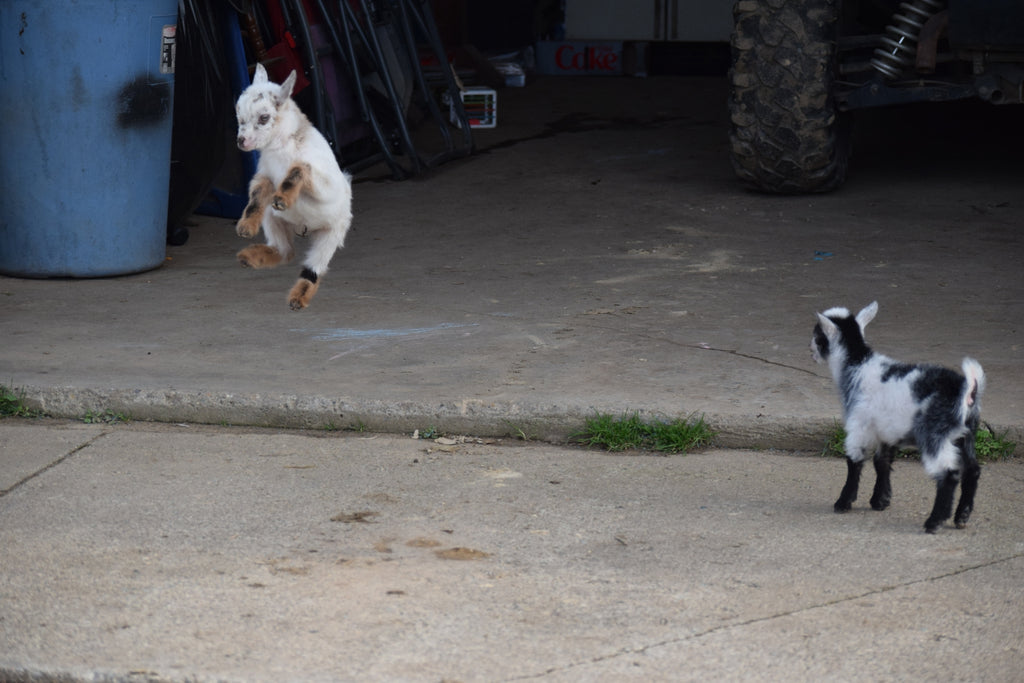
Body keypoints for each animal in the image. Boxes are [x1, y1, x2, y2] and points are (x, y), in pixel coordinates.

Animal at [811, 302, 985, 533]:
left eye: (817, 334)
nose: (811, 351)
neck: (856, 363)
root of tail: (967, 390)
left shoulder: (858, 426)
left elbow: (854, 461)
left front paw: (843, 502)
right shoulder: (886, 430)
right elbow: (881, 462)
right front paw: (880, 500)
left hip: (934, 433)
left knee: (949, 474)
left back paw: (934, 521)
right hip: (965, 435)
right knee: (972, 471)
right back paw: (962, 516)